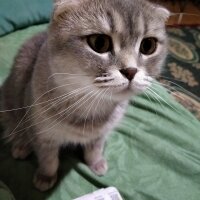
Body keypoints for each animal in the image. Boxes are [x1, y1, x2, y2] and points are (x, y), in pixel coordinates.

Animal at [0, 0, 169, 191]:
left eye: (148, 46)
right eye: (99, 42)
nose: (131, 70)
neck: (90, 105)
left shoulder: (101, 133)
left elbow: (94, 149)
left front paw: (96, 163)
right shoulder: (42, 133)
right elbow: (48, 159)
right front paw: (45, 176)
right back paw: (22, 145)